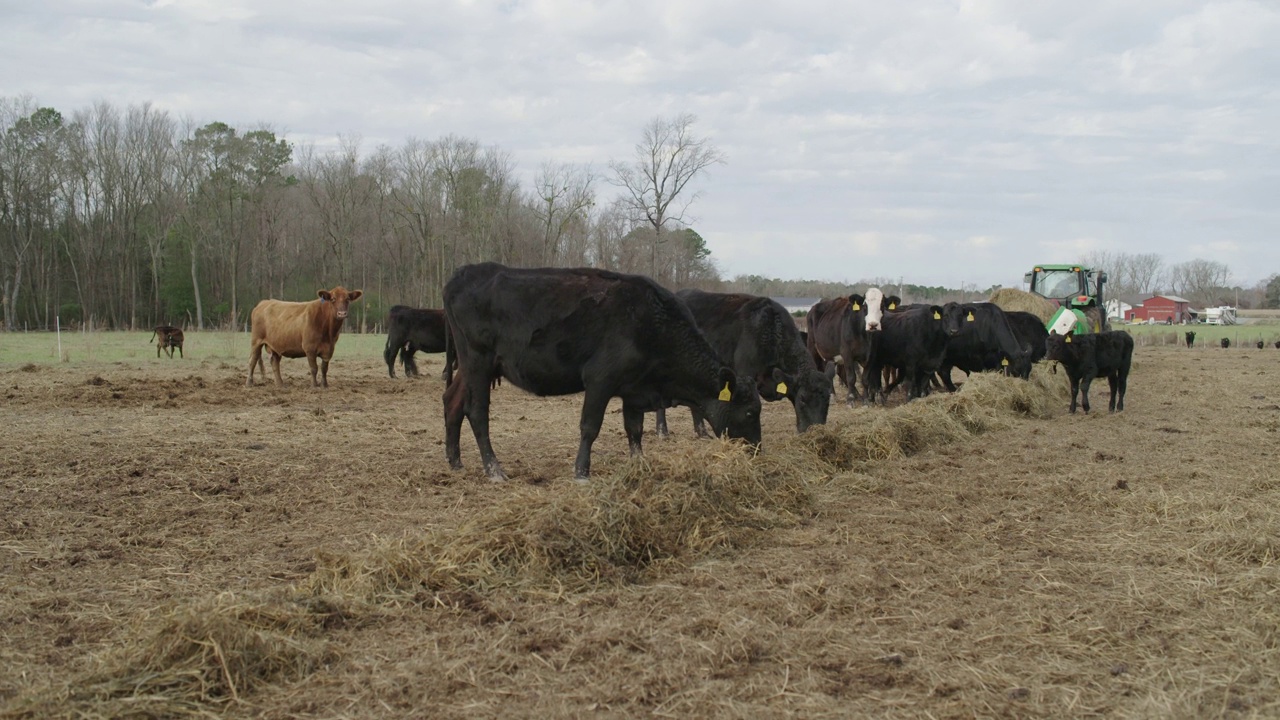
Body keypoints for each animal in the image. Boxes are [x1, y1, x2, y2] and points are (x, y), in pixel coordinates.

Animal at [442, 260, 757, 479]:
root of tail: (464, 273)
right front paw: (582, 472)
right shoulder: (600, 380)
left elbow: (635, 429)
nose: (756, 449)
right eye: (750, 412)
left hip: (470, 367)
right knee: (477, 412)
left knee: (452, 401)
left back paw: (455, 461)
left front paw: (639, 464)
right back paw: (494, 469)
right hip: (478, 362)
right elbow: (590, 427)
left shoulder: (634, 389)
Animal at [655, 286, 834, 435]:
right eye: (802, 398)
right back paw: (662, 431)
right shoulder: (745, 374)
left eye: (827, 398)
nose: (816, 431)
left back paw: (702, 432)